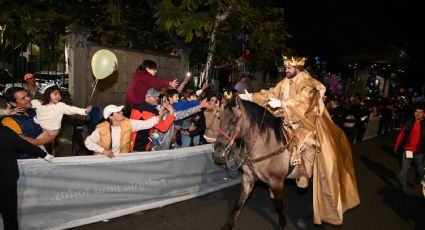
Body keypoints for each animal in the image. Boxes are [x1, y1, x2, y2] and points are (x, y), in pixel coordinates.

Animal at [212, 97, 294, 230]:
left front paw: (282, 224)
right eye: (220, 118)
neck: (266, 147)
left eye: (234, 121)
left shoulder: (277, 183)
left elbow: (279, 206)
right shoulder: (248, 177)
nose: (218, 150)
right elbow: (239, 202)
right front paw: (229, 225)